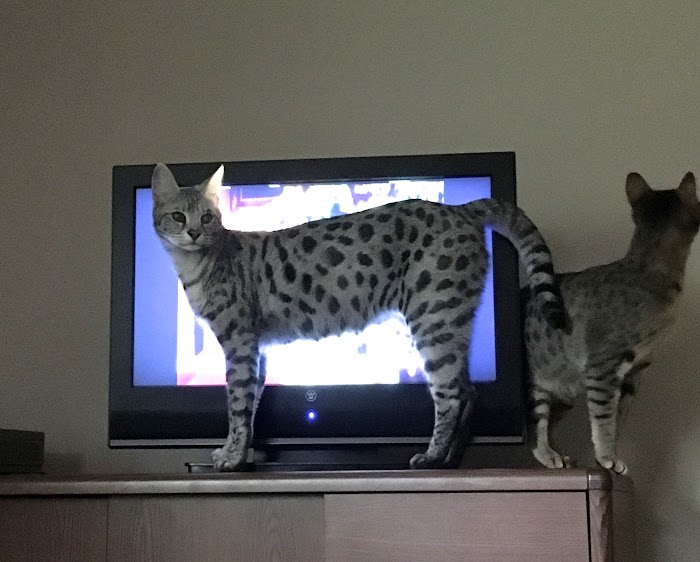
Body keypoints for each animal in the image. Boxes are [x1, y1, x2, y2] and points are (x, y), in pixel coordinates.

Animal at [152, 164, 568, 470]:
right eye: (178, 216)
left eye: (207, 217)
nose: (193, 232)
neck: (197, 266)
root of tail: (459, 208)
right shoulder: (257, 348)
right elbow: (250, 407)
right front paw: (236, 453)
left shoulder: (238, 342)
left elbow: (237, 407)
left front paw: (232, 457)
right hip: (451, 321)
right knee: (469, 391)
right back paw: (450, 458)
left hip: (433, 318)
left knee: (451, 395)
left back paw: (432, 456)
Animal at [528, 171, 696, 472]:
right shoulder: (603, 365)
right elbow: (604, 418)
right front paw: (606, 457)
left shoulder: (635, 371)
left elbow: (618, 421)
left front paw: (610, 455)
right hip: (539, 383)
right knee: (536, 427)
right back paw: (549, 455)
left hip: (563, 389)